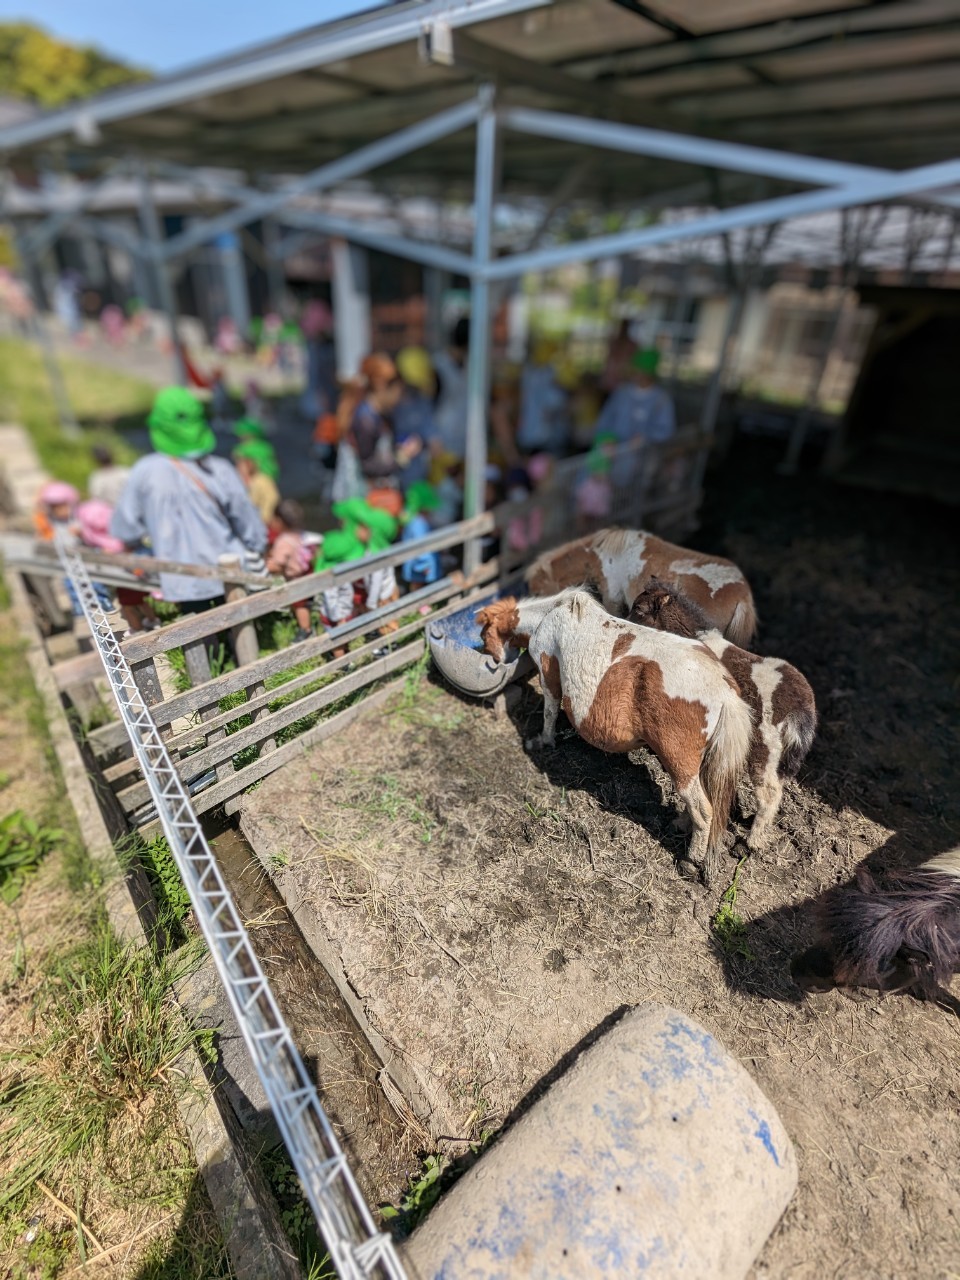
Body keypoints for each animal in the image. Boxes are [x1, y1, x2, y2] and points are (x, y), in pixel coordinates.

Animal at [478, 586, 757, 880]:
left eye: (484, 633)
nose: (491, 658)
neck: (549, 614)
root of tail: (724, 692)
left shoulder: (548, 676)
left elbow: (550, 713)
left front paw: (544, 741)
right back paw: (681, 824)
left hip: (679, 760)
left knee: (703, 809)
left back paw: (691, 860)